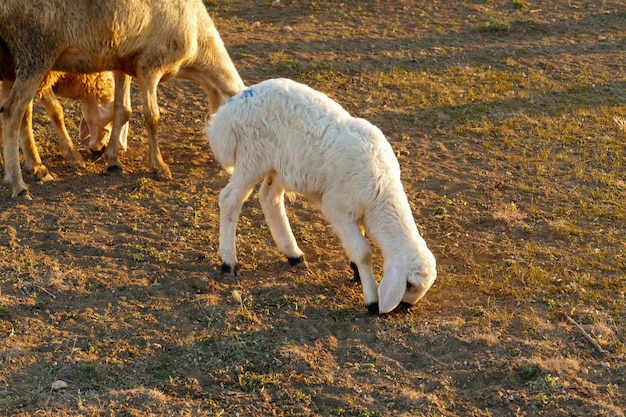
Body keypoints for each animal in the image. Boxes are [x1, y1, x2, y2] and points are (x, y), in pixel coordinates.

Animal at [0, 0, 244, 197]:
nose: (233, 168)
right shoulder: (149, 65)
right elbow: (152, 117)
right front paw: (159, 166)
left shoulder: (123, 63)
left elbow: (122, 110)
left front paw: (113, 161)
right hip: (36, 52)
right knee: (12, 112)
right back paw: (19, 184)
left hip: (10, 62)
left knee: (19, 111)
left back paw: (28, 169)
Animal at [205, 78, 434, 314]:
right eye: (409, 284)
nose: (405, 308)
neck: (379, 196)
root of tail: (227, 114)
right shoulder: (338, 208)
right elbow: (363, 251)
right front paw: (372, 301)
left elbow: (359, 241)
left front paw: (355, 271)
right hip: (252, 156)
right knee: (229, 199)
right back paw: (228, 262)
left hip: (280, 167)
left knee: (269, 198)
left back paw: (293, 254)